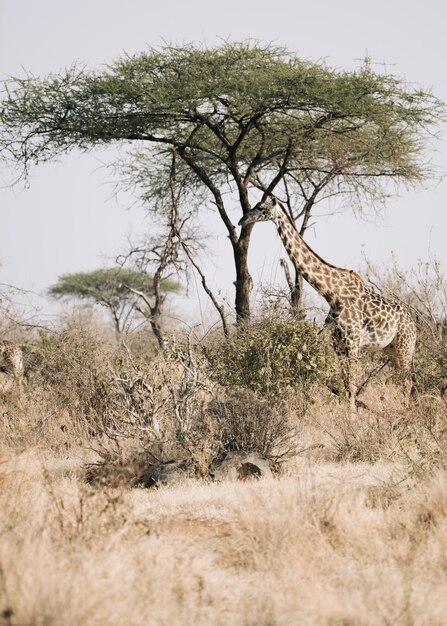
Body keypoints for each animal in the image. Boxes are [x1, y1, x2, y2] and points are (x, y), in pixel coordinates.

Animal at [240, 195, 418, 410]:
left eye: (260, 207)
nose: (242, 220)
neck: (332, 294)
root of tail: (414, 322)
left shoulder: (353, 344)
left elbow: (352, 386)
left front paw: (352, 417)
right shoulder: (338, 346)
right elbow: (345, 386)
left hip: (405, 346)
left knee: (407, 382)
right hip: (390, 349)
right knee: (401, 380)